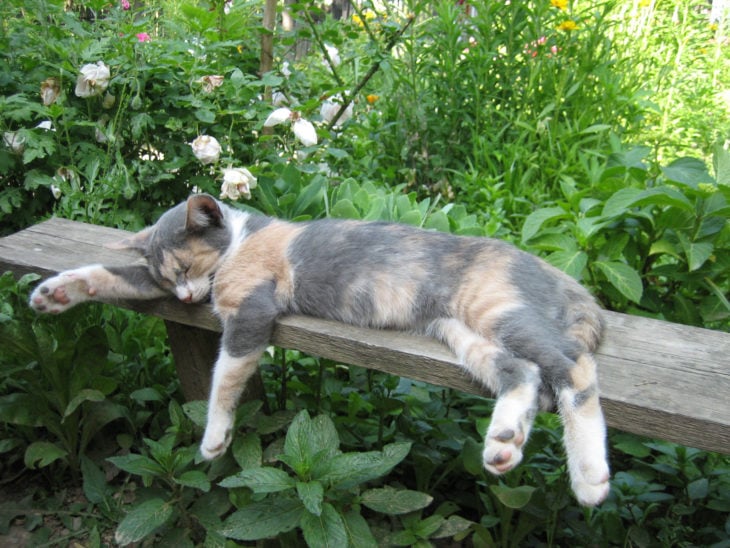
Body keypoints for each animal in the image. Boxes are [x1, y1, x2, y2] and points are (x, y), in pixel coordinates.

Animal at [28, 193, 608, 506]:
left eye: (188, 266)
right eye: (170, 280)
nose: (188, 299)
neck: (240, 239)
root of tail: (562, 277)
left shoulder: (251, 313)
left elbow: (225, 377)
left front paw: (215, 437)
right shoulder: (151, 286)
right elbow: (110, 274)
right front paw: (53, 292)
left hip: (498, 309)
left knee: (573, 370)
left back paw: (589, 479)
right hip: (463, 335)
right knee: (524, 374)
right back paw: (504, 442)